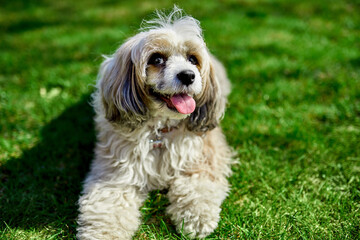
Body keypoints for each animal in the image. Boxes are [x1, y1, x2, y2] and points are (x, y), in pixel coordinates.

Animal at [77, 6, 232, 239]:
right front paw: (103, 233)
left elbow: (198, 188)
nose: (188, 75)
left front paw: (197, 218)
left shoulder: (204, 159)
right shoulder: (115, 176)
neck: (161, 130)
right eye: (157, 59)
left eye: (192, 59)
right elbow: (107, 206)